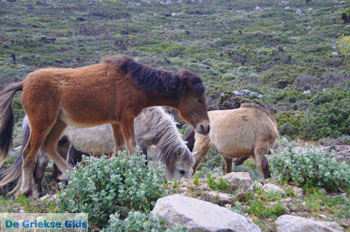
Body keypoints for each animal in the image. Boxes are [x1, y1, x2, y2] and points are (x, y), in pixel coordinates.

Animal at [0, 55, 209, 197]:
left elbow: (120, 151)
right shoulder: (127, 121)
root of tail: (24, 83)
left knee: (48, 149)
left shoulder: (116, 123)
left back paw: (71, 175)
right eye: (199, 99)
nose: (205, 127)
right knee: (31, 156)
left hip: (59, 128)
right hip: (42, 125)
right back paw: (29, 192)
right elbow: (133, 152)